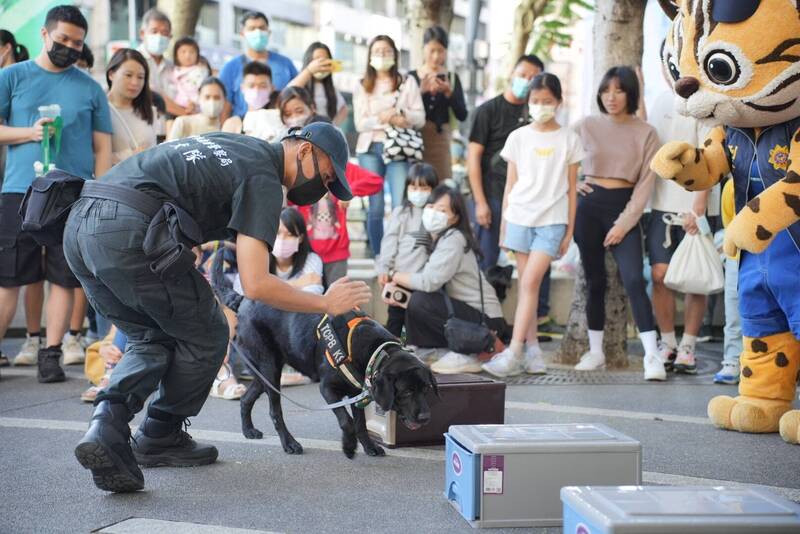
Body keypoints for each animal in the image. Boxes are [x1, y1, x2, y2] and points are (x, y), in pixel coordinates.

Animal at [211, 255, 438, 460]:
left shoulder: (357, 394)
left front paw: (369, 446)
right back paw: (289, 443)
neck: (371, 349)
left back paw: (248, 430)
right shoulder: (327, 388)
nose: (426, 417)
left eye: (425, 389)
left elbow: (360, 423)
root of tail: (243, 301)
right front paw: (349, 446)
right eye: (406, 392)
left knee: (246, 399)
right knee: (275, 412)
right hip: (269, 368)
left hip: (264, 373)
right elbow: (346, 421)